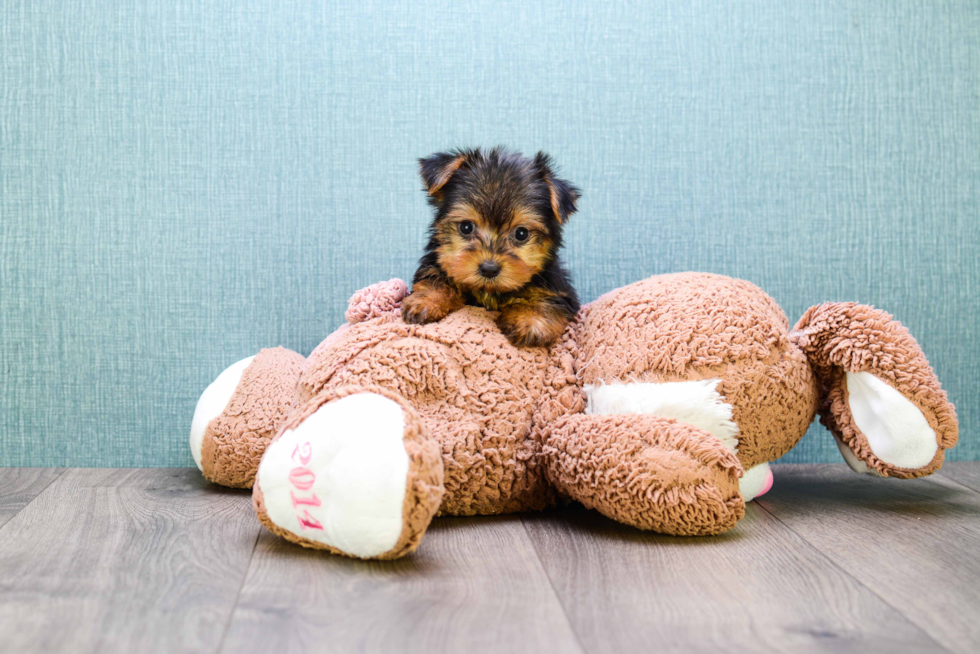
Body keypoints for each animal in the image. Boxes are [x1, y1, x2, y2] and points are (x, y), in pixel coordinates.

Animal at [402, 148, 580, 348]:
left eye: (521, 233)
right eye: (466, 227)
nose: (489, 269)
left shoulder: (557, 287)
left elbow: (549, 300)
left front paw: (531, 321)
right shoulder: (438, 262)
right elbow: (435, 278)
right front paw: (426, 300)